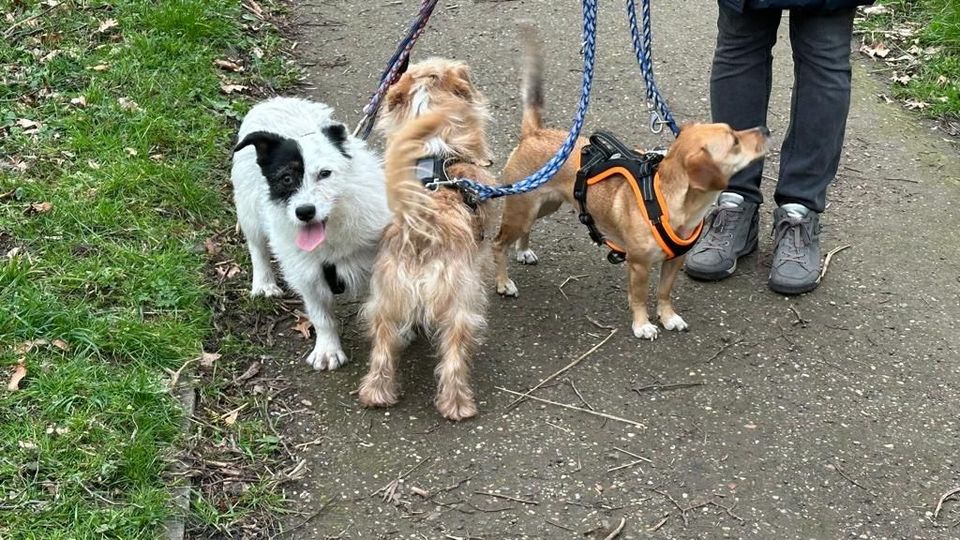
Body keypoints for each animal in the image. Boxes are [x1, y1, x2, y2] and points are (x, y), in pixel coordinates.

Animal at [232, 97, 390, 372]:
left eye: (325, 173)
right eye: (286, 178)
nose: (304, 211)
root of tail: (274, 101)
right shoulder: (306, 274)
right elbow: (321, 316)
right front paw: (327, 349)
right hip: (248, 209)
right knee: (257, 247)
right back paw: (264, 283)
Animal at [358, 59, 496, 422]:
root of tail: (420, 227)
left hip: (384, 301)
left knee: (382, 350)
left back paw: (377, 394)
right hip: (461, 304)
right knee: (453, 359)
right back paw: (458, 405)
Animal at [492, 27, 768, 340]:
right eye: (734, 142)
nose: (764, 129)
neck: (667, 199)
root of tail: (534, 132)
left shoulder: (674, 262)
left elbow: (664, 293)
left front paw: (668, 317)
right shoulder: (638, 265)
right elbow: (639, 298)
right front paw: (642, 324)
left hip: (542, 206)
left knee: (523, 232)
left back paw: (523, 250)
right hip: (520, 210)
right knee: (498, 244)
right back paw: (503, 282)